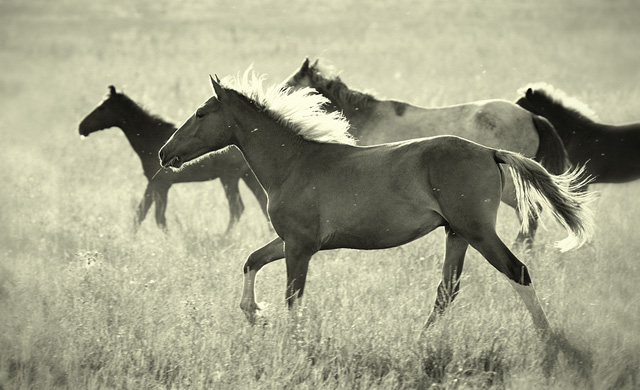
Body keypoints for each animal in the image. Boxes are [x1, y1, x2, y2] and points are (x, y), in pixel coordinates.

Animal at [78, 85, 268, 232]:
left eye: (102, 108)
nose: (81, 127)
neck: (151, 138)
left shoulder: (162, 184)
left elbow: (158, 217)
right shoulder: (153, 183)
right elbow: (140, 213)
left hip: (230, 177)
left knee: (237, 209)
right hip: (247, 177)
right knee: (261, 203)